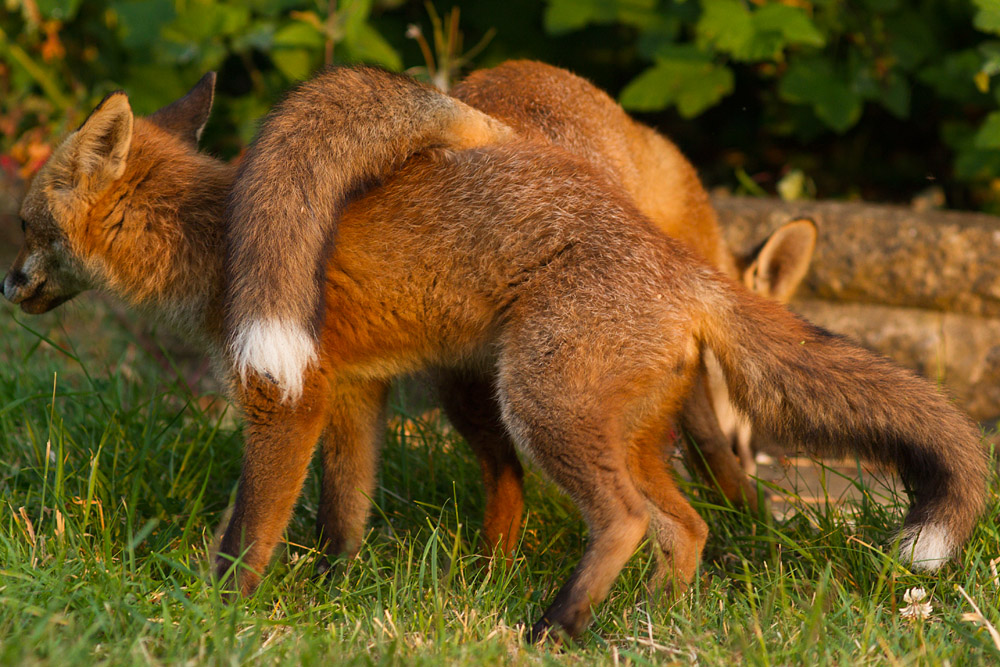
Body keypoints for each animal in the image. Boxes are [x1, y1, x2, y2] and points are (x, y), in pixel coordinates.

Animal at [4, 69, 988, 641]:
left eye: (28, 225)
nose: (8, 284)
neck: (214, 234)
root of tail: (686, 270)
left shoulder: (286, 393)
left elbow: (252, 526)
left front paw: (218, 610)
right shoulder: (353, 390)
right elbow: (342, 512)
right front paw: (333, 588)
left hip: (539, 402)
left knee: (628, 519)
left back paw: (557, 624)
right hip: (612, 427)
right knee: (685, 524)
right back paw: (648, 624)